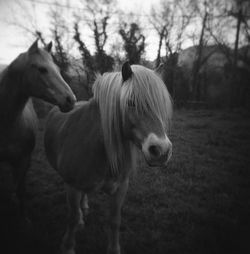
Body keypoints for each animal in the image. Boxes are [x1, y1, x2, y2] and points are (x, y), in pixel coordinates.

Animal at [0, 39, 76, 218]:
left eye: (58, 70)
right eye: (42, 69)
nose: (71, 100)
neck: (7, 123)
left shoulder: (23, 160)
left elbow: (20, 190)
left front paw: (24, 218)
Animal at [44, 62, 172, 254]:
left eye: (161, 104)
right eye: (131, 102)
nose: (162, 150)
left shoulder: (121, 187)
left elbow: (114, 220)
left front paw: (114, 249)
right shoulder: (71, 187)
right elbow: (72, 217)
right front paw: (68, 247)